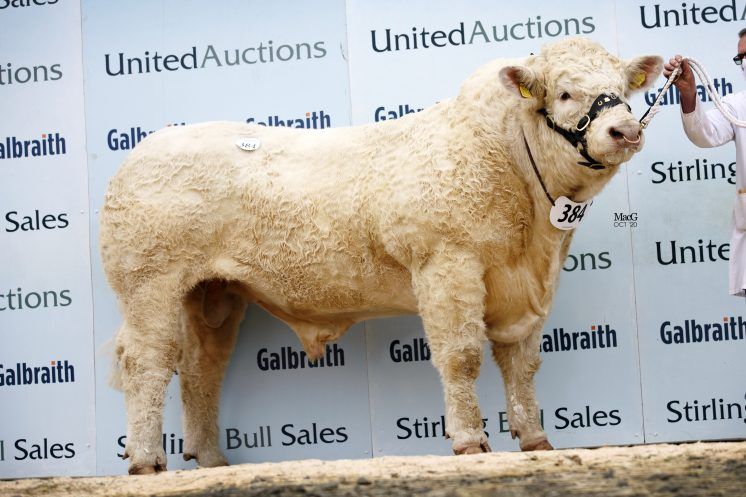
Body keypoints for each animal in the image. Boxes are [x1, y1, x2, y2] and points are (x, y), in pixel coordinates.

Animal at [100, 37, 662, 474]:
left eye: (624, 88)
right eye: (565, 92)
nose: (626, 130)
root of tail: (141, 152)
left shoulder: (523, 288)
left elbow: (522, 364)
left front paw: (536, 440)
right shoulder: (446, 263)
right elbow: (461, 355)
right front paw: (470, 442)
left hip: (212, 294)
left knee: (202, 367)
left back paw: (212, 460)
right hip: (150, 283)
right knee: (147, 362)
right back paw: (146, 460)